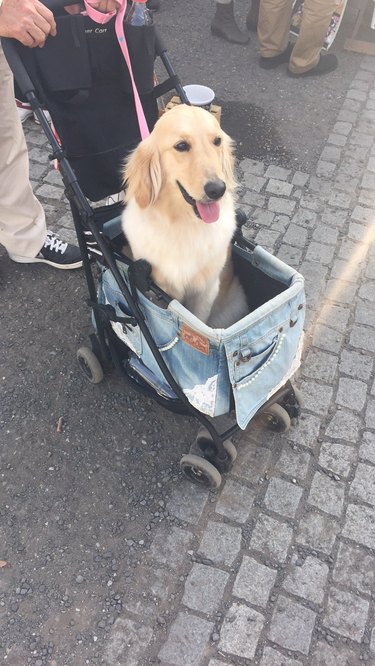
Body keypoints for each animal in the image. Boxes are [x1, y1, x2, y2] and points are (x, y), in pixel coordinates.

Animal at [122, 103, 248, 326]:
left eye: (217, 141)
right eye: (181, 146)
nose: (218, 189)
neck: (184, 224)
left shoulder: (206, 290)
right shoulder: (156, 289)